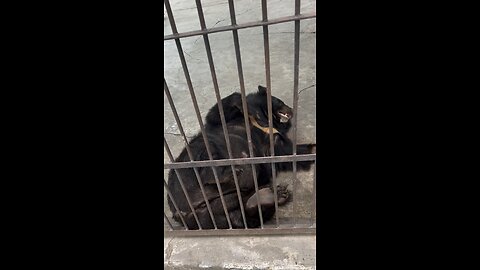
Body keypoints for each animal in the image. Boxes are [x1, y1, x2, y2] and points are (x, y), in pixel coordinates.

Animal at [167, 85, 316, 229]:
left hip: (220, 211)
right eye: (280, 101)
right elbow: (217, 114)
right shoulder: (228, 119)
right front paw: (241, 101)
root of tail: (182, 213)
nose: (291, 108)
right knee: (206, 155)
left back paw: (268, 196)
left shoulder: (276, 142)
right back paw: (227, 173)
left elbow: (289, 152)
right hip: (195, 159)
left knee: (243, 216)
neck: (266, 119)